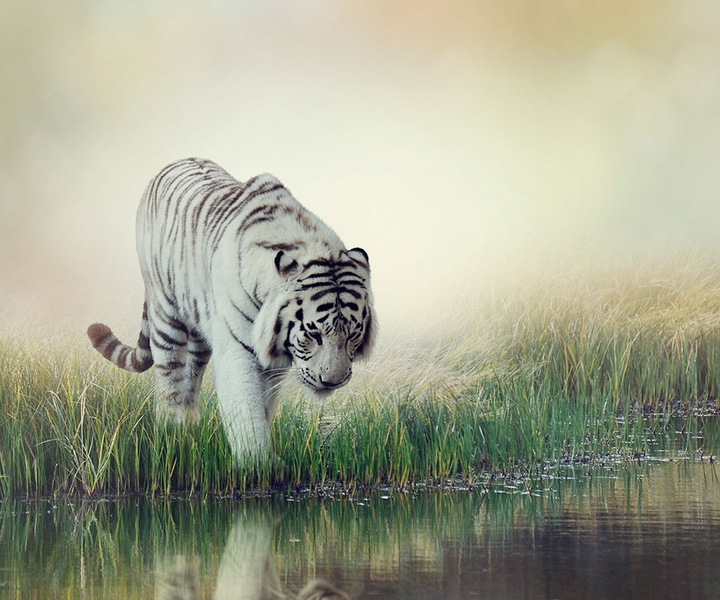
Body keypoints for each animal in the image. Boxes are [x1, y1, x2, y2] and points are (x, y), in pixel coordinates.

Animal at [87, 158, 377, 461]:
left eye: (352, 335)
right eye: (313, 334)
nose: (332, 382)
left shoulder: (273, 361)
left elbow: (263, 405)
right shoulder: (237, 350)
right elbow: (246, 407)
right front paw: (258, 462)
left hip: (200, 330)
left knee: (191, 376)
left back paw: (190, 427)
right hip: (165, 314)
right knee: (169, 376)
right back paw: (171, 430)